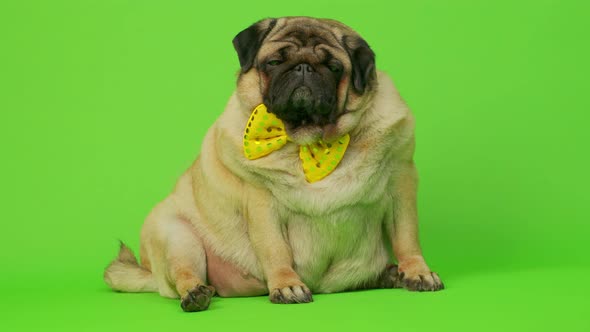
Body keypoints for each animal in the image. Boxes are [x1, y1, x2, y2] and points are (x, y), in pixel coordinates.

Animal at [104, 14, 444, 312]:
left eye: (334, 67)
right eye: (275, 62)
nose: (304, 68)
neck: (310, 142)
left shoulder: (400, 183)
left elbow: (407, 237)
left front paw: (417, 271)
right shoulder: (262, 205)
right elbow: (275, 250)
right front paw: (286, 286)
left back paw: (389, 273)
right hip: (177, 237)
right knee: (184, 274)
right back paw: (196, 294)